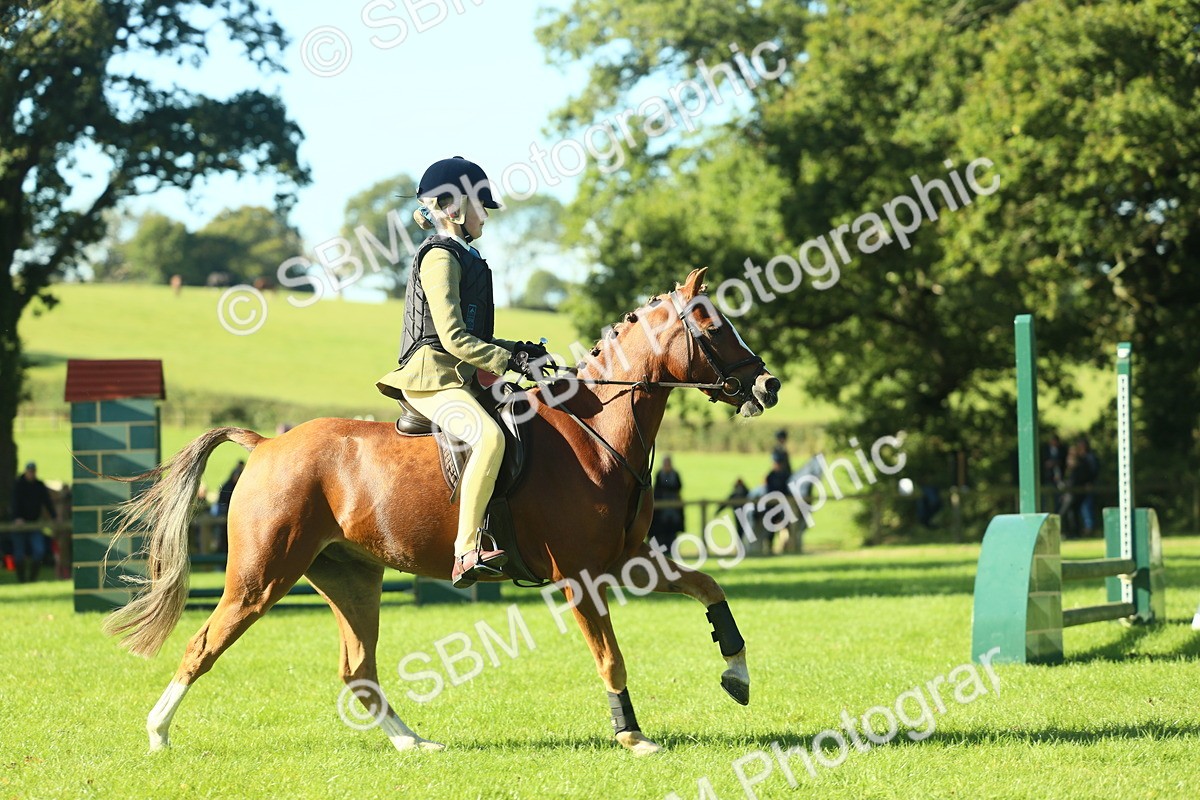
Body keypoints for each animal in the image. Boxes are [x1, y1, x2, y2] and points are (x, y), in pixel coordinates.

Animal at [104, 267, 781, 755]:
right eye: (712, 326)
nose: (768, 385)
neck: (595, 431)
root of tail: (267, 443)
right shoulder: (581, 576)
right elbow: (610, 653)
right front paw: (633, 735)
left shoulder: (627, 559)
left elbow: (709, 586)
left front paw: (738, 675)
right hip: (261, 577)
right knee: (204, 645)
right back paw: (157, 734)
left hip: (350, 577)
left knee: (359, 670)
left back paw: (415, 744)